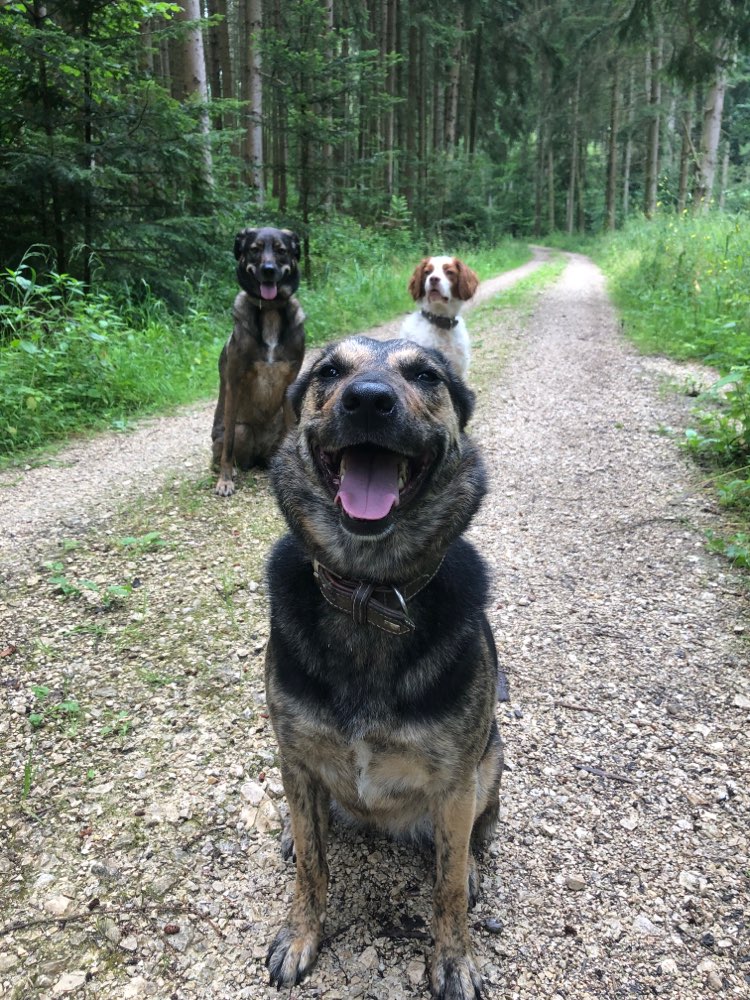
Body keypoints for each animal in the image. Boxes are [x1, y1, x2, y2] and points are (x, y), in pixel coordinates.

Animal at [212, 225, 306, 494]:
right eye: (254, 249)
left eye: (281, 250)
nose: (268, 270)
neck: (271, 310)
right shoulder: (234, 382)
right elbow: (229, 444)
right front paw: (225, 480)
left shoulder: (290, 382)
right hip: (240, 430)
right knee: (224, 450)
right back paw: (231, 469)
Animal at [264, 338, 506, 1000]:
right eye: (328, 371)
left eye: (425, 375)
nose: (368, 400)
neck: (370, 593)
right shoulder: (295, 757)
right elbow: (313, 867)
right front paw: (301, 934)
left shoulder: (455, 781)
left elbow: (447, 887)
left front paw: (454, 959)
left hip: (489, 762)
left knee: (474, 836)